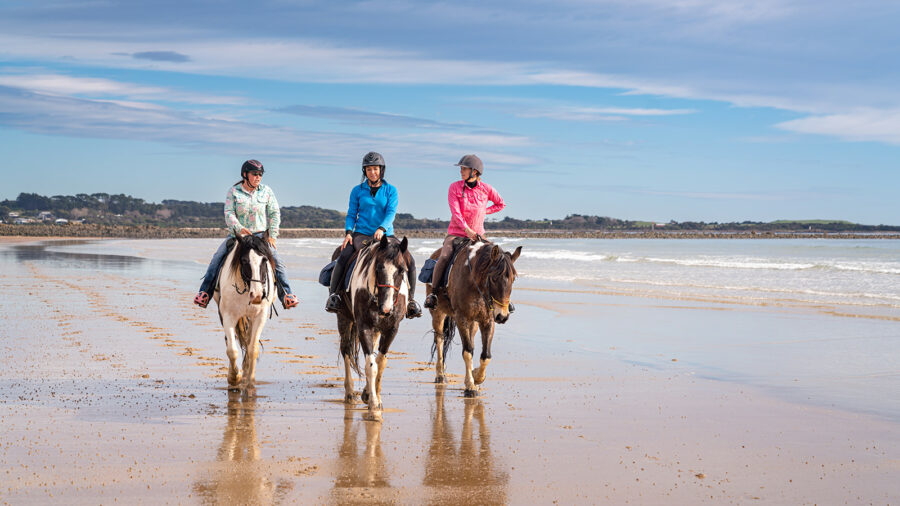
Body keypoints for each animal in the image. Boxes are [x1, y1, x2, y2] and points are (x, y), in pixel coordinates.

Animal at [212, 232, 276, 390]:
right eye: (244, 260)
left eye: (264, 260)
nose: (258, 295)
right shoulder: (228, 316)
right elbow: (232, 350)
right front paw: (234, 378)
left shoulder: (260, 316)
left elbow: (253, 348)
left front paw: (250, 381)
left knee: (247, 341)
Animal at [332, 234, 411, 422]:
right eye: (379, 267)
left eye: (402, 270)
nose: (387, 309)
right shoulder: (364, 327)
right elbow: (370, 365)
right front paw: (374, 408)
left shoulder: (391, 329)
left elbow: (380, 362)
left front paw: (372, 396)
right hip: (343, 318)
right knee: (346, 350)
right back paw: (350, 392)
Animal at [426, 238, 522, 396]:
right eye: (493, 278)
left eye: (513, 280)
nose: (502, 316)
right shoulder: (462, 318)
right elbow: (467, 351)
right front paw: (471, 386)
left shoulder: (487, 320)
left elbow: (485, 355)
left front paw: (476, 376)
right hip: (438, 313)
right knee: (439, 339)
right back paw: (440, 375)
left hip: (474, 323)